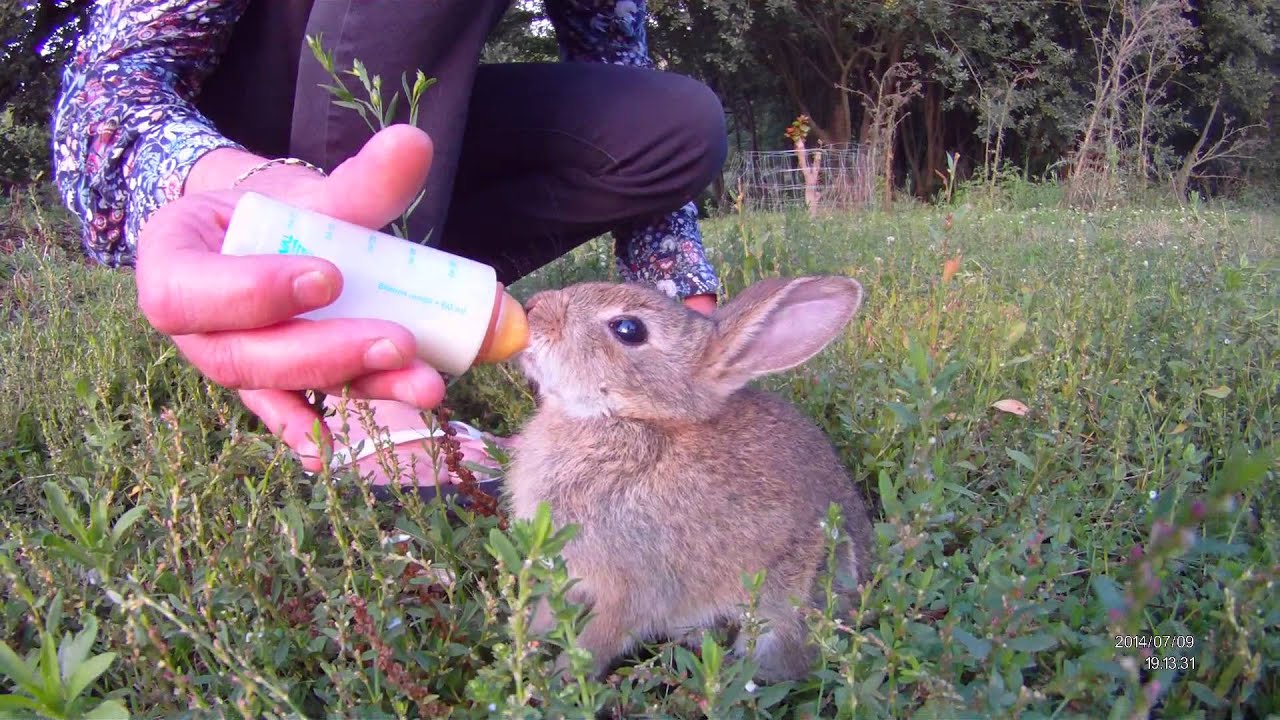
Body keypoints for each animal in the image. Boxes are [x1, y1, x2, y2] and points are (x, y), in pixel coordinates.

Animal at [505, 275, 875, 683]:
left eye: (628, 329)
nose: (532, 308)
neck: (635, 419)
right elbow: (547, 612)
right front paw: (522, 643)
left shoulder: (632, 591)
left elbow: (593, 643)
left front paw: (557, 681)